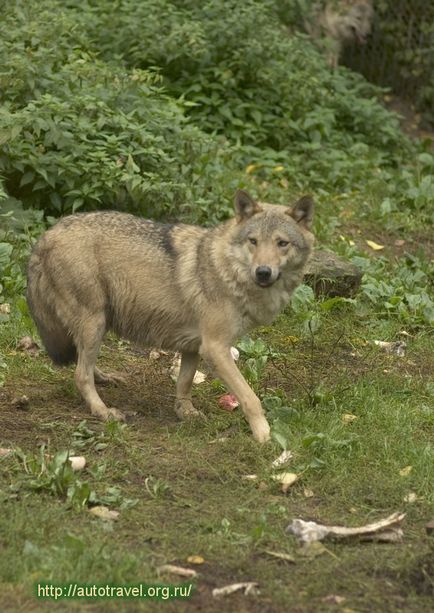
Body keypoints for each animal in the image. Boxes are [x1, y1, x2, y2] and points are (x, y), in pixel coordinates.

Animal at [27, 190, 314, 440]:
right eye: (253, 241)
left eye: (282, 243)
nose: (263, 272)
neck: (228, 272)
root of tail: (46, 235)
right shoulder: (215, 348)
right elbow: (250, 397)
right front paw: (264, 435)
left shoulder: (193, 346)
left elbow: (184, 383)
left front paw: (185, 413)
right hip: (94, 322)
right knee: (80, 375)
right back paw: (103, 411)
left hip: (100, 323)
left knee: (83, 363)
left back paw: (106, 378)